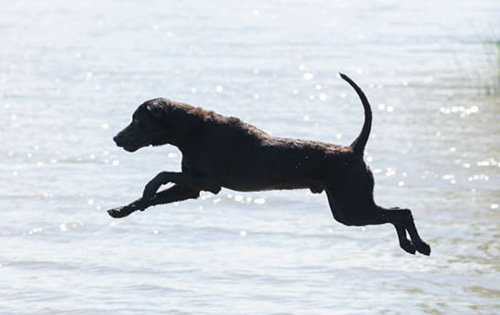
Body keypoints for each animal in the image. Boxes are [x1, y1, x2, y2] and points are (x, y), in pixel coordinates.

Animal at [108, 74, 430, 256]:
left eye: (138, 120)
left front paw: (148, 187)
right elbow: (153, 196)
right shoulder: (192, 187)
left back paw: (418, 244)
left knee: (402, 212)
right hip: (347, 209)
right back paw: (411, 245)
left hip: (352, 208)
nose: (116, 138)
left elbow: (161, 174)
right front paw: (123, 209)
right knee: (397, 213)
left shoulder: (209, 183)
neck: (191, 130)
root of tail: (353, 149)